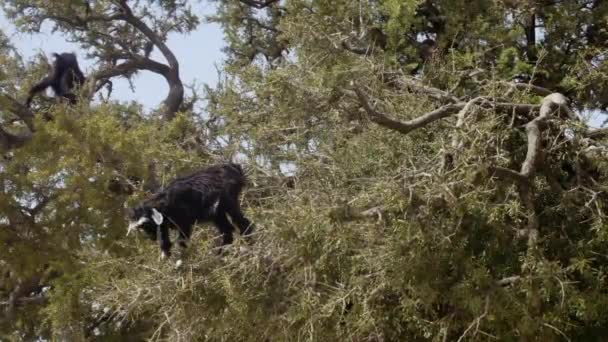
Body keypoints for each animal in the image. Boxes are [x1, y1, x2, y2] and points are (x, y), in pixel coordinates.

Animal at [126, 163, 254, 260]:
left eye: (147, 225)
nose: (151, 238)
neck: (164, 204)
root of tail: (234, 167)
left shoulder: (183, 222)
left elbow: (181, 239)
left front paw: (182, 255)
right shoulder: (164, 224)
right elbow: (165, 240)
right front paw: (166, 255)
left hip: (228, 202)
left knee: (243, 223)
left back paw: (248, 245)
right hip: (218, 213)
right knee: (227, 231)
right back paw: (221, 253)